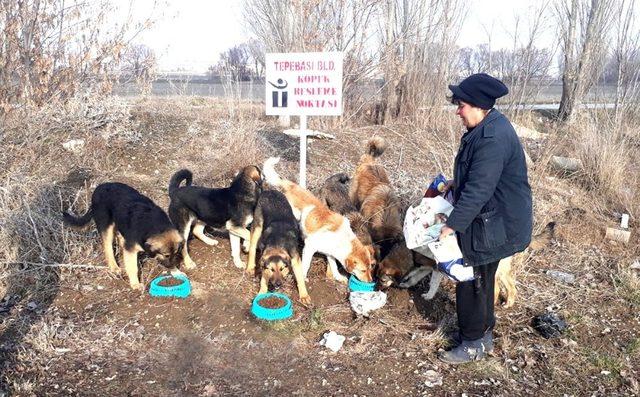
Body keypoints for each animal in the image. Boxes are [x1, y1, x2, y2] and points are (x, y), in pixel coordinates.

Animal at [264, 156, 378, 284]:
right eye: (363, 270)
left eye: (371, 266)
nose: (370, 281)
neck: (343, 239)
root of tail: (292, 186)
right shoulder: (309, 247)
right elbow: (306, 265)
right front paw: (303, 279)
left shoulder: (330, 253)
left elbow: (333, 266)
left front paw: (338, 277)